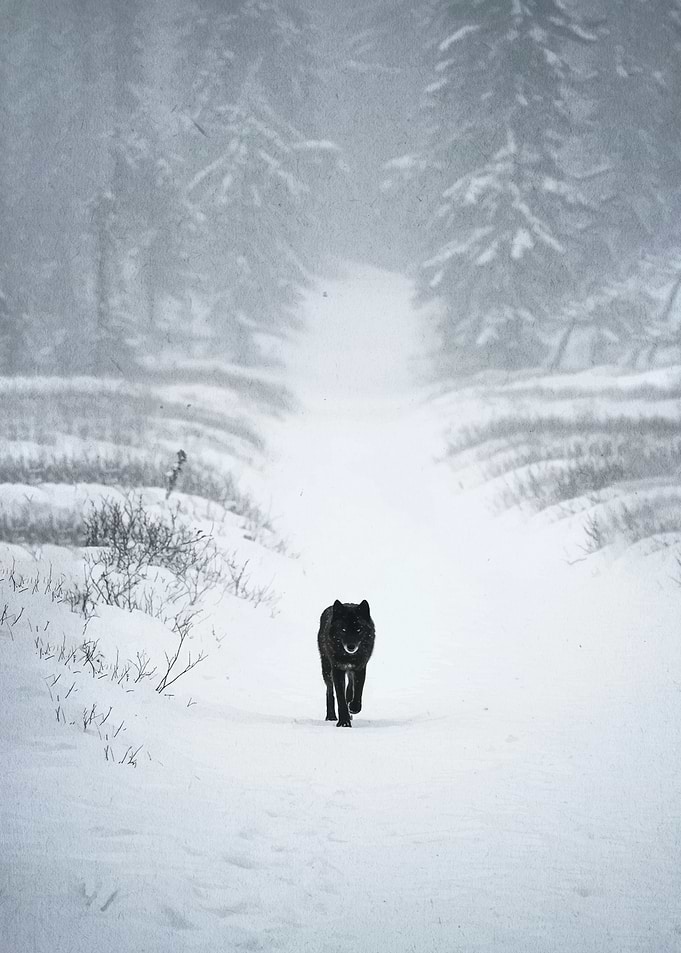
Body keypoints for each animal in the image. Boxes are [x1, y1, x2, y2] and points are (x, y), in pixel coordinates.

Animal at [317, 599, 375, 727]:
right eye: (343, 629)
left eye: (359, 630)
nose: (351, 647)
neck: (349, 656)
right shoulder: (337, 670)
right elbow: (340, 698)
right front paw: (344, 722)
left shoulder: (360, 668)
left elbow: (358, 690)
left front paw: (353, 708)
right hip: (327, 669)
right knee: (329, 691)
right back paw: (331, 716)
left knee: (350, 687)